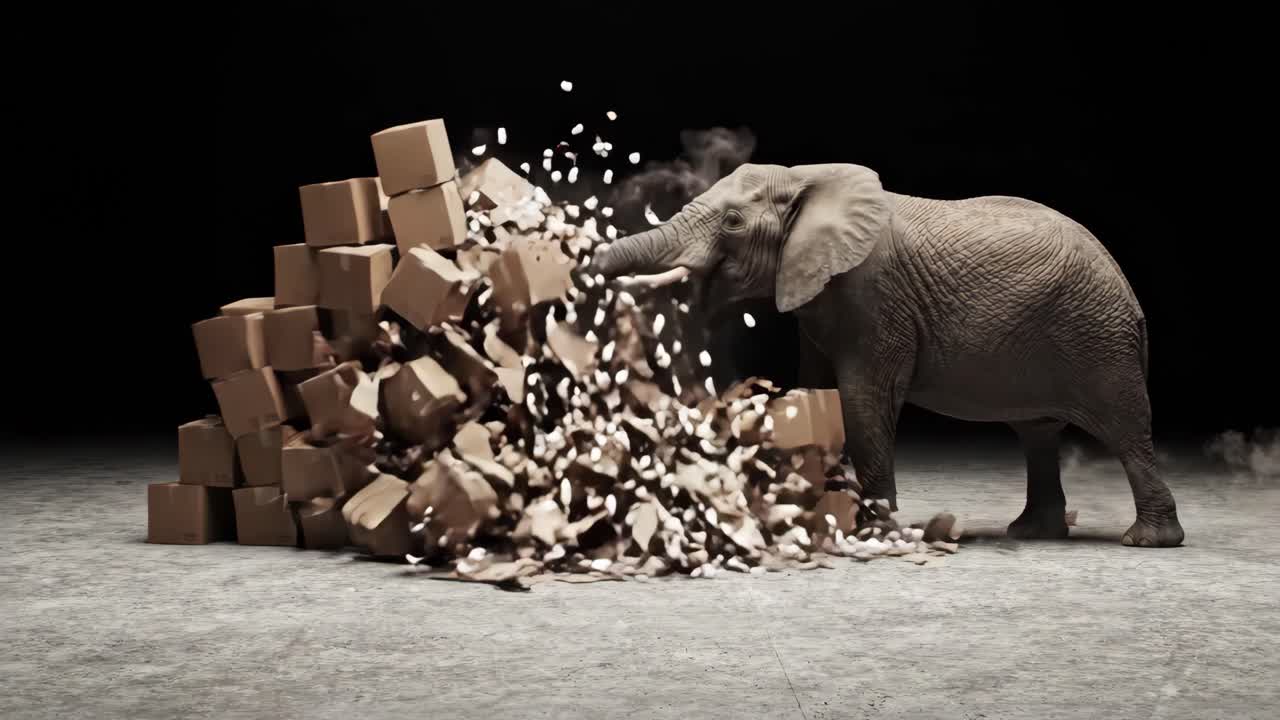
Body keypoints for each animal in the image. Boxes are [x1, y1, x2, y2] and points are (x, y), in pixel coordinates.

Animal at [593, 162, 1184, 547]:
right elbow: (819, 391)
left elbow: (865, 399)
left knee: (1125, 430)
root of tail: (1128, 295)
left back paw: (1147, 541)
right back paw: (1034, 532)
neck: (809, 179)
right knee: (1037, 434)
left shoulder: (873, 293)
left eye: (733, 221)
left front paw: (871, 533)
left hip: (1097, 339)